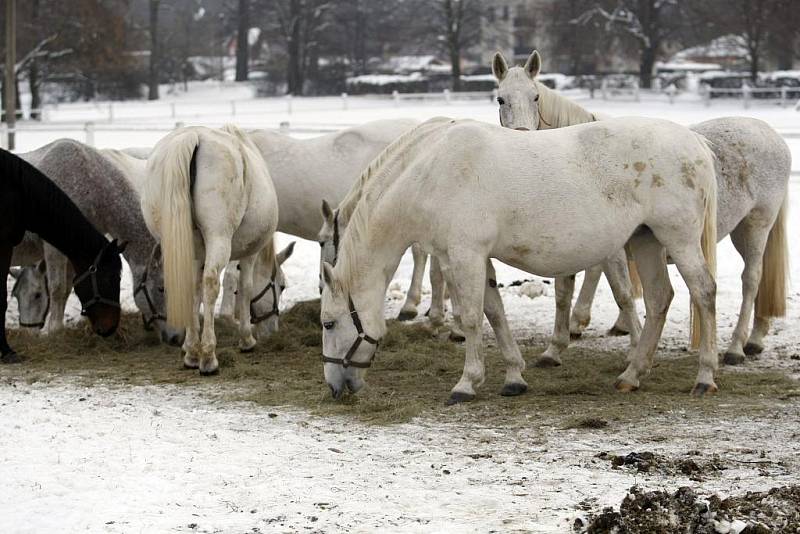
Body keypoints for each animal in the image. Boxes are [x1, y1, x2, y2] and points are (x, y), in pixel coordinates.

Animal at [142, 125, 280, 376]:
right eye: (281, 286)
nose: (273, 326)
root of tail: (193, 136)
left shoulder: (197, 256)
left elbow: (195, 291)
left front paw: (190, 348)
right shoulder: (248, 254)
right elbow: (244, 288)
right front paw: (246, 339)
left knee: (189, 285)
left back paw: (193, 354)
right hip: (219, 239)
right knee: (211, 283)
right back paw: (208, 358)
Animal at [318, 117, 720, 402]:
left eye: (329, 323)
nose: (335, 387)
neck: (432, 172)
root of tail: (694, 141)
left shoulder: (464, 255)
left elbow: (471, 318)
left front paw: (466, 383)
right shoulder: (473, 257)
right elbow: (494, 312)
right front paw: (514, 377)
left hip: (678, 239)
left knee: (704, 291)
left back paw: (705, 377)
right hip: (647, 240)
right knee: (658, 299)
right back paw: (631, 376)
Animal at [494, 50, 788, 366]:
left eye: (535, 97)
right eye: (500, 99)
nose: (521, 138)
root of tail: (772, 134)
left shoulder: (610, 250)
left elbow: (622, 293)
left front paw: (634, 349)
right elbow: (563, 292)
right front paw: (554, 349)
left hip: (756, 225)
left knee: (751, 280)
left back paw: (735, 347)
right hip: (740, 232)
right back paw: (755, 338)